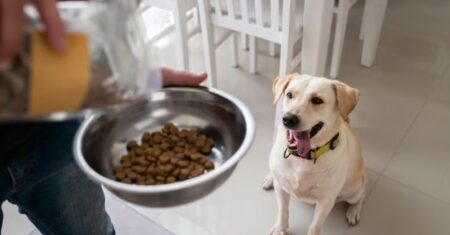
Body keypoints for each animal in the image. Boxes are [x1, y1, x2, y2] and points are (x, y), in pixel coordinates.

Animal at [264, 74, 366, 235]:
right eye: (289, 94)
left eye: (317, 100)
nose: (288, 119)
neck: (303, 157)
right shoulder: (281, 189)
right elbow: (283, 211)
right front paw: (280, 228)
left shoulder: (326, 201)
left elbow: (315, 226)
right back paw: (270, 178)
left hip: (353, 190)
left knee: (361, 196)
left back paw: (354, 211)